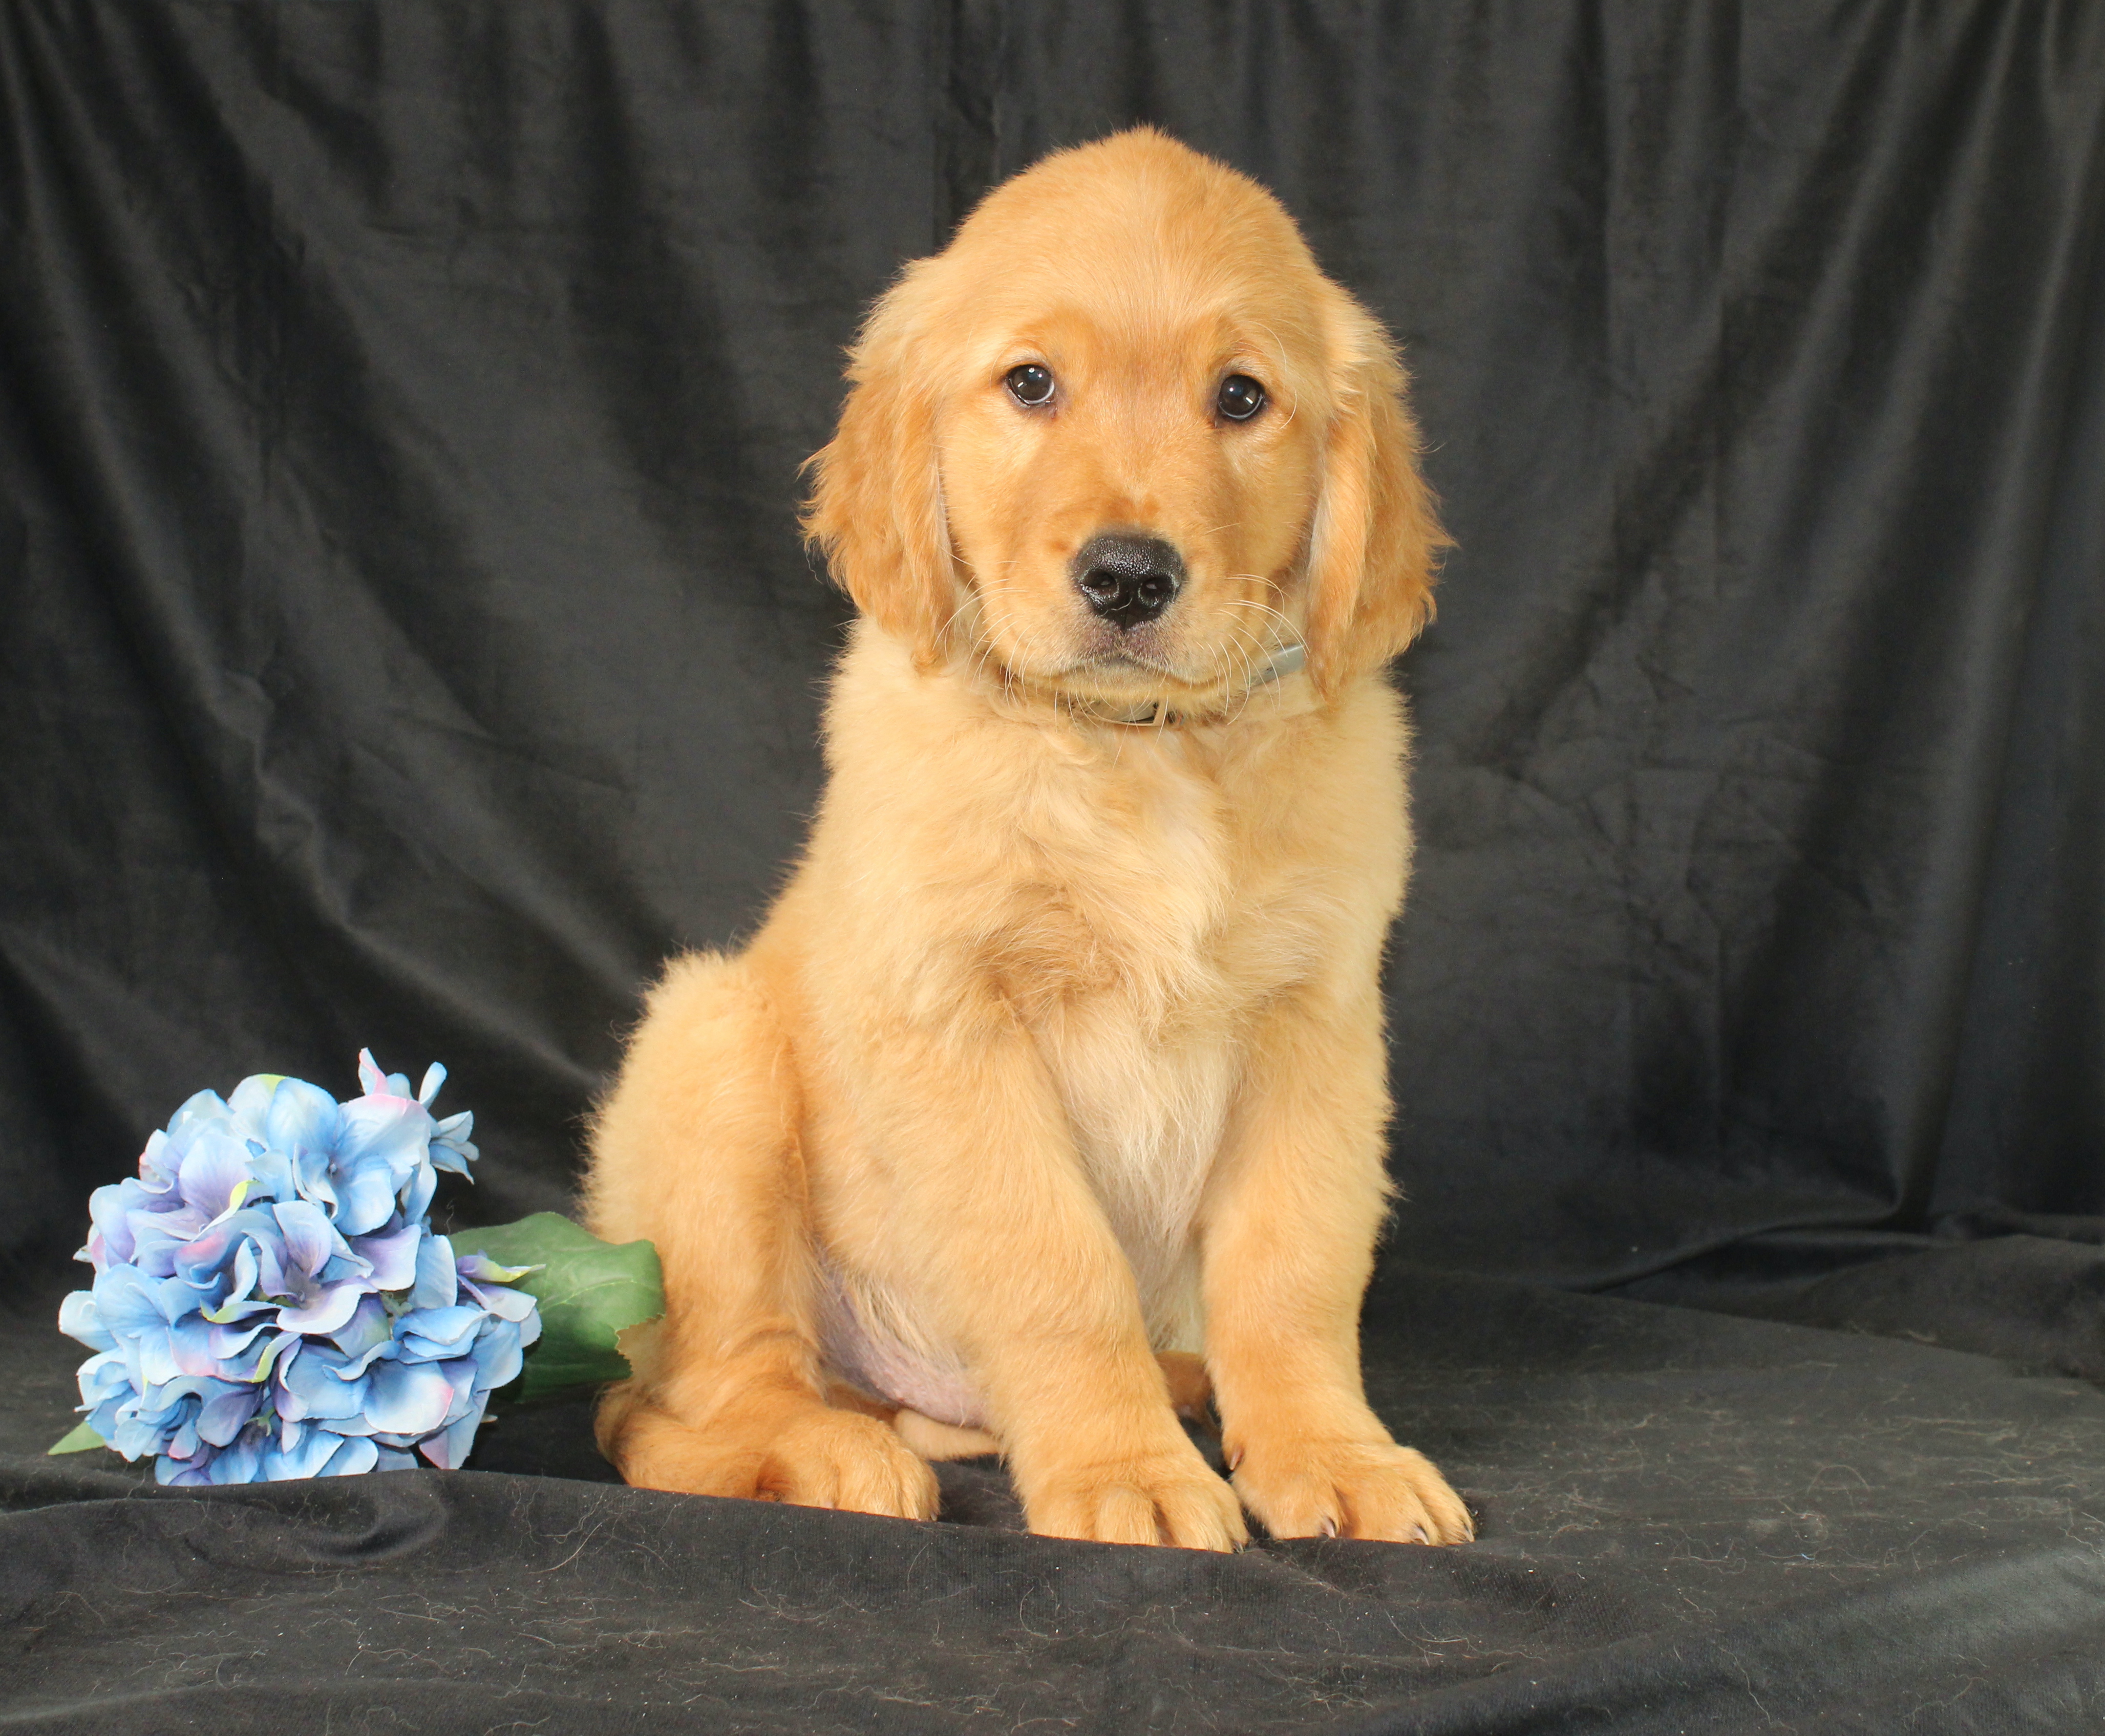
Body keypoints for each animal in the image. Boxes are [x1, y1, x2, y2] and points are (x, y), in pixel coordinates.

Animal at [585, 128, 1473, 1549]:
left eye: (1241, 398)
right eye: (1031, 384)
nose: (1128, 576)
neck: (1140, 753)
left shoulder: (1317, 1021)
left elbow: (1293, 1270)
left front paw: (1329, 1450)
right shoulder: (957, 1016)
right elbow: (1056, 1266)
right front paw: (1125, 1471)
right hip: (709, 1051)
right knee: (673, 1403)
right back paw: (817, 1453)